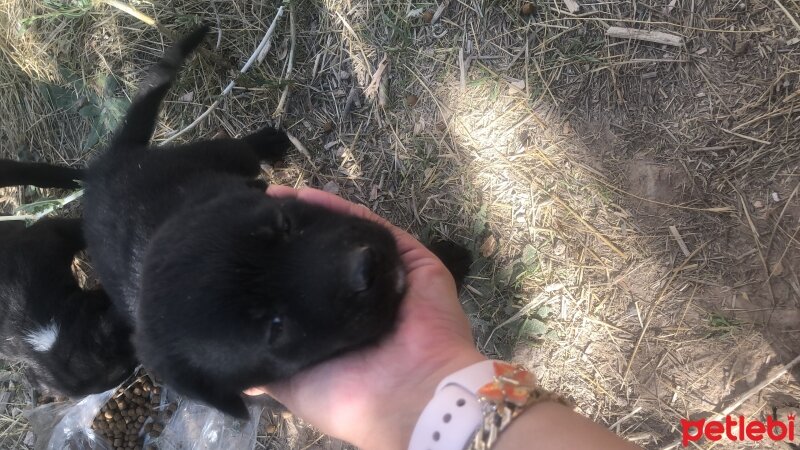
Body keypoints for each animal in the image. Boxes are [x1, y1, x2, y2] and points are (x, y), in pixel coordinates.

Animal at [83, 28, 412, 420]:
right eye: (275, 327)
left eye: (285, 224)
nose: (365, 267)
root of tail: (108, 163)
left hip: (217, 154)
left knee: (243, 149)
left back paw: (269, 141)